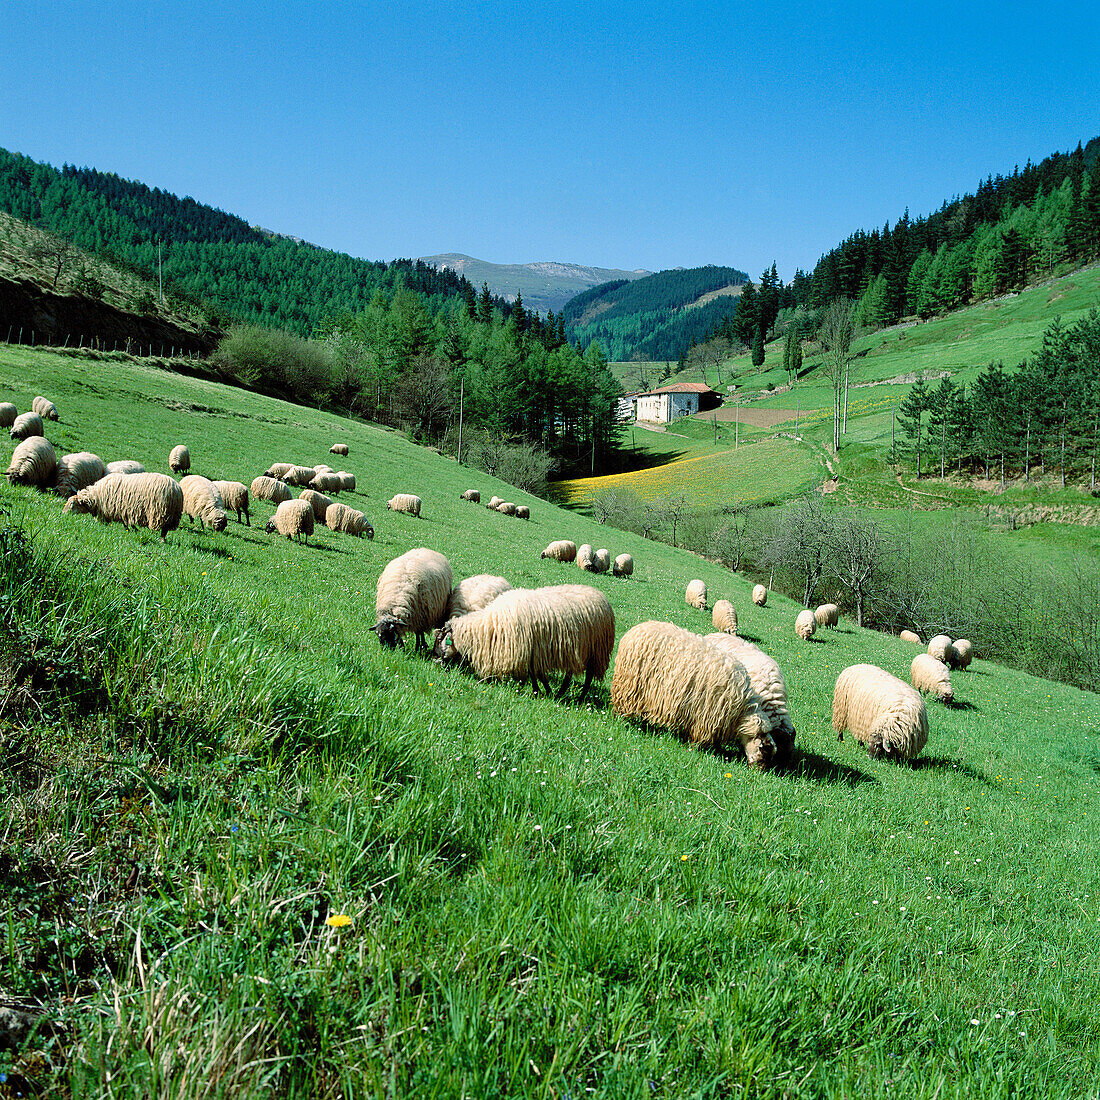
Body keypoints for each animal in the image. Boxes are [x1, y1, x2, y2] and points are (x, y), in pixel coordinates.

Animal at [433, 580, 616, 699]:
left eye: (441, 640)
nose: (434, 659)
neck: (489, 626)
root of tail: (601, 595)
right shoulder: (533, 652)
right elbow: (536, 675)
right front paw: (540, 691)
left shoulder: (529, 649)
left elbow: (537, 674)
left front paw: (543, 691)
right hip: (574, 648)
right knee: (570, 673)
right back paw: (562, 691)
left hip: (596, 650)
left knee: (589, 676)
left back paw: (581, 697)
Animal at [607, 624, 778, 770]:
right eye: (764, 752)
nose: (759, 772)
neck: (742, 712)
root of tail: (635, 630)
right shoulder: (707, 719)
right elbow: (700, 740)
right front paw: (697, 749)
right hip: (628, 686)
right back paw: (622, 721)